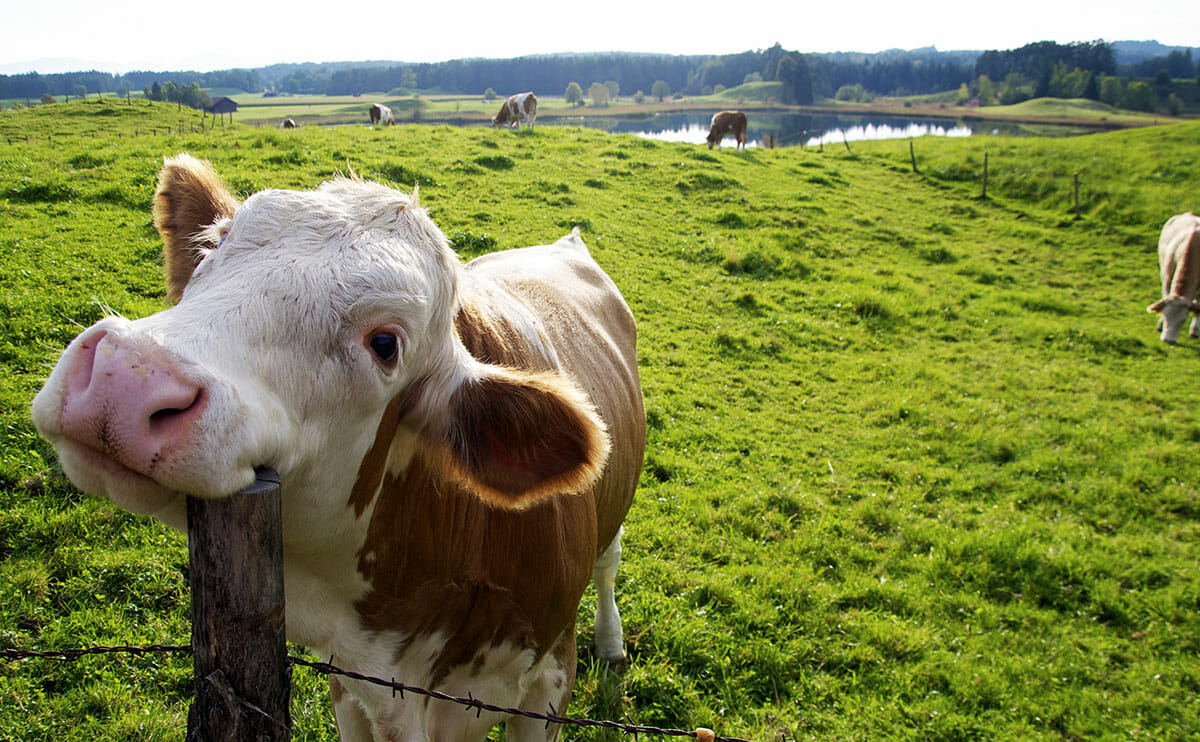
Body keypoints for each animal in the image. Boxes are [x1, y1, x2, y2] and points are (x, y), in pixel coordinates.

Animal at [30, 153, 648, 734]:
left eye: (385, 344)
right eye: (218, 244)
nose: (126, 376)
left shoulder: (549, 679)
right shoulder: (351, 689)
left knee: (609, 562)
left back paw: (612, 643)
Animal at [1142, 211, 1200, 343]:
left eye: (1183, 320)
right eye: (1165, 314)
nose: (1168, 340)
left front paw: (1194, 331)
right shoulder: (1166, 275)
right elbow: (1165, 296)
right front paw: (1160, 325)